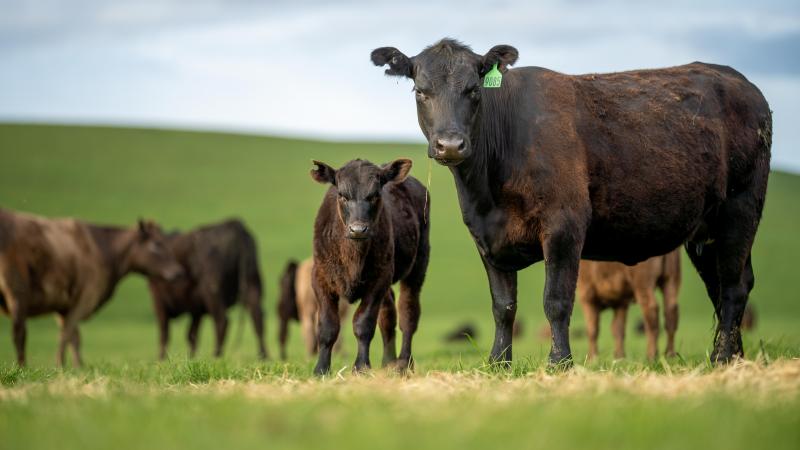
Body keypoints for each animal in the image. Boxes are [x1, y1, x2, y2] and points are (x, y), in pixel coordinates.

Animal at [0, 209, 181, 368]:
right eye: (157, 244)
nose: (178, 271)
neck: (103, 250)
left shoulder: (63, 306)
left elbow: (73, 337)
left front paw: (77, 367)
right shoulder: (84, 298)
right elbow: (67, 334)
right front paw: (61, 365)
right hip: (17, 293)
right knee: (19, 333)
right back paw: (22, 367)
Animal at [145, 220, 268, 360]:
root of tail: (235, 225)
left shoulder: (159, 301)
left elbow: (165, 333)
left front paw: (162, 359)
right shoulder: (195, 308)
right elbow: (191, 335)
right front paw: (190, 357)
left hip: (213, 290)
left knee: (222, 321)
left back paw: (216, 355)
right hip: (252, 283)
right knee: (257, 317)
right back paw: (263, 355)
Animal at [310, 160, 432, 374]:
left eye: (375, 195)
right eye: (342, 195)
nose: (358, 229)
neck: (353, 258)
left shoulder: (378, 281)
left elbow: (363, 324)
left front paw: (361, 367)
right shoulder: (320, 277)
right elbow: (327, 326)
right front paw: (321, 369)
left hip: (417, 266)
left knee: (408, 313)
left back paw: (403, 364)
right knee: (388, 315)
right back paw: (388, 362)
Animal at [372, 38, 772, 366]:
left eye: (473, 90)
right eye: (421, 92)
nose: (451, 145)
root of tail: (742, 82)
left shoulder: (564, 226)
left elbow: (556, 300)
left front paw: (560, 362)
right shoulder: (486, 238)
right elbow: (503, 306)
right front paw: (498, 363)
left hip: (740, 209)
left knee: (733, 287)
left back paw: (723, 357)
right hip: (705, 230)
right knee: (723, 286)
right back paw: (735, 357)